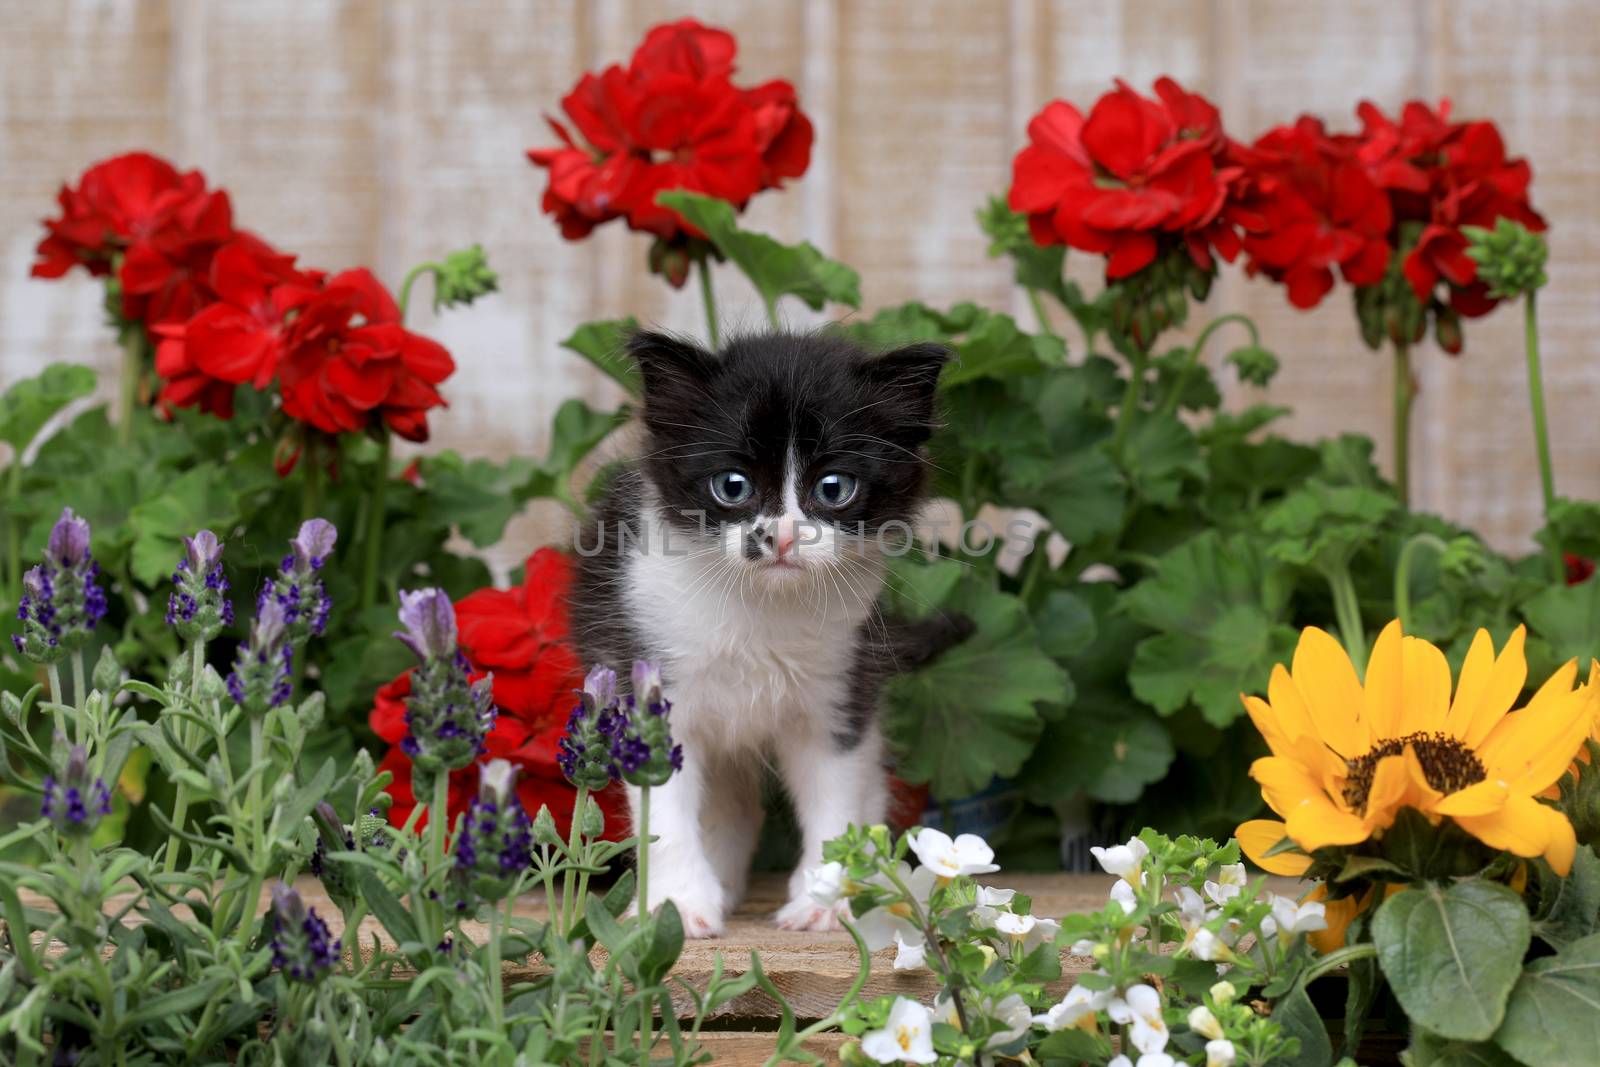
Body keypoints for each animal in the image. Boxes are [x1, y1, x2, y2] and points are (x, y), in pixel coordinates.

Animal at [572, 329, 947, 940]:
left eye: (834, 487)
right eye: (733, 486)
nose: (783, 537)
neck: (761, 607)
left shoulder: (840, 689)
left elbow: (835, 796)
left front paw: (826, 898)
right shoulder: (648, 677)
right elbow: (665, 813)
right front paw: (675, 904)